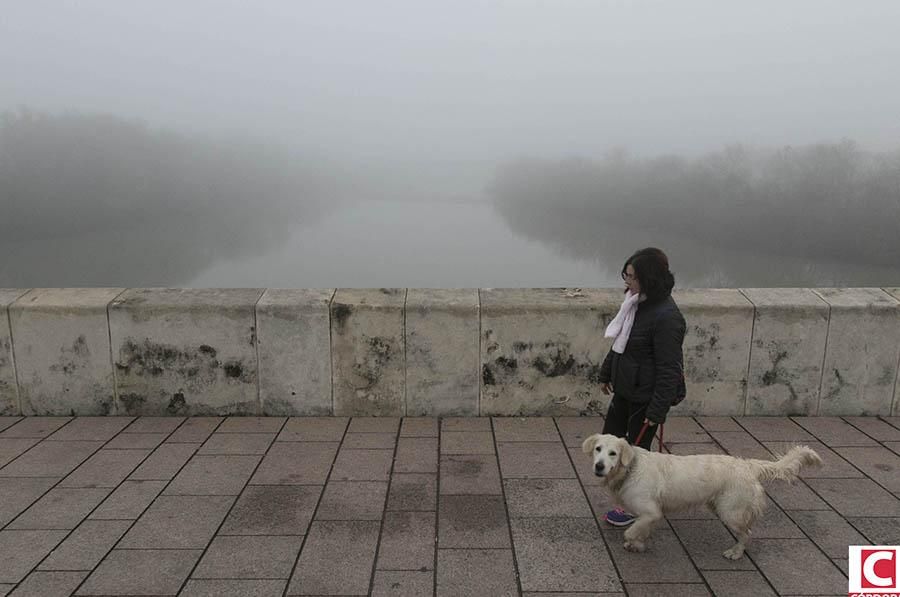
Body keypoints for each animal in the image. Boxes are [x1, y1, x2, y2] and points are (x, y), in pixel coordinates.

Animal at [584, 434, 824, 560]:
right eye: (598, 449)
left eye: (613, 453)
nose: (599, 466)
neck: (631, 468)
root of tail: (747, 465)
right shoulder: (649, 515)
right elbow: (641, 530)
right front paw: (638, 544)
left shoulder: (651, 511)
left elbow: (630, 530)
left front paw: (633, 541)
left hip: (731, 512)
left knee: (747, 533)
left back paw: (735, 553)